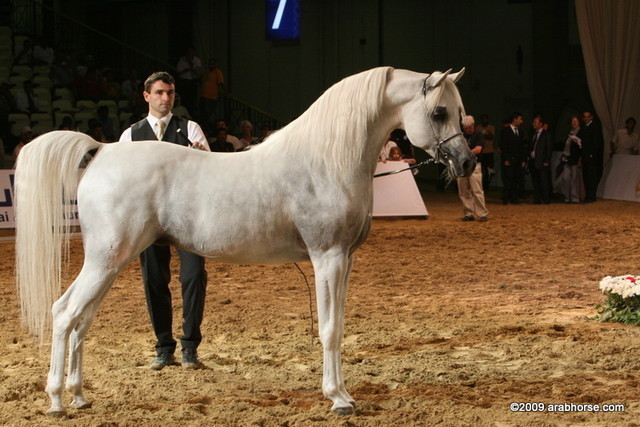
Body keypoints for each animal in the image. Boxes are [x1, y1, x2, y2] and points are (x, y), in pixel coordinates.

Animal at [15, 66, 474, 416]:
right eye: (438, 112)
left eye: (460, 112)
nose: (467, 162)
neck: (327, 160)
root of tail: (102, 151)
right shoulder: (327, 257)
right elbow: (329, 330)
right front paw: (339, 399)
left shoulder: (343, 260)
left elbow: (339, 326)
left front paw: (342, 393)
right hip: (106, 259)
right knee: (63, 313)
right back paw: (56, 400)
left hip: (111, 262)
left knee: (82, 320)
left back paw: (78, 396)